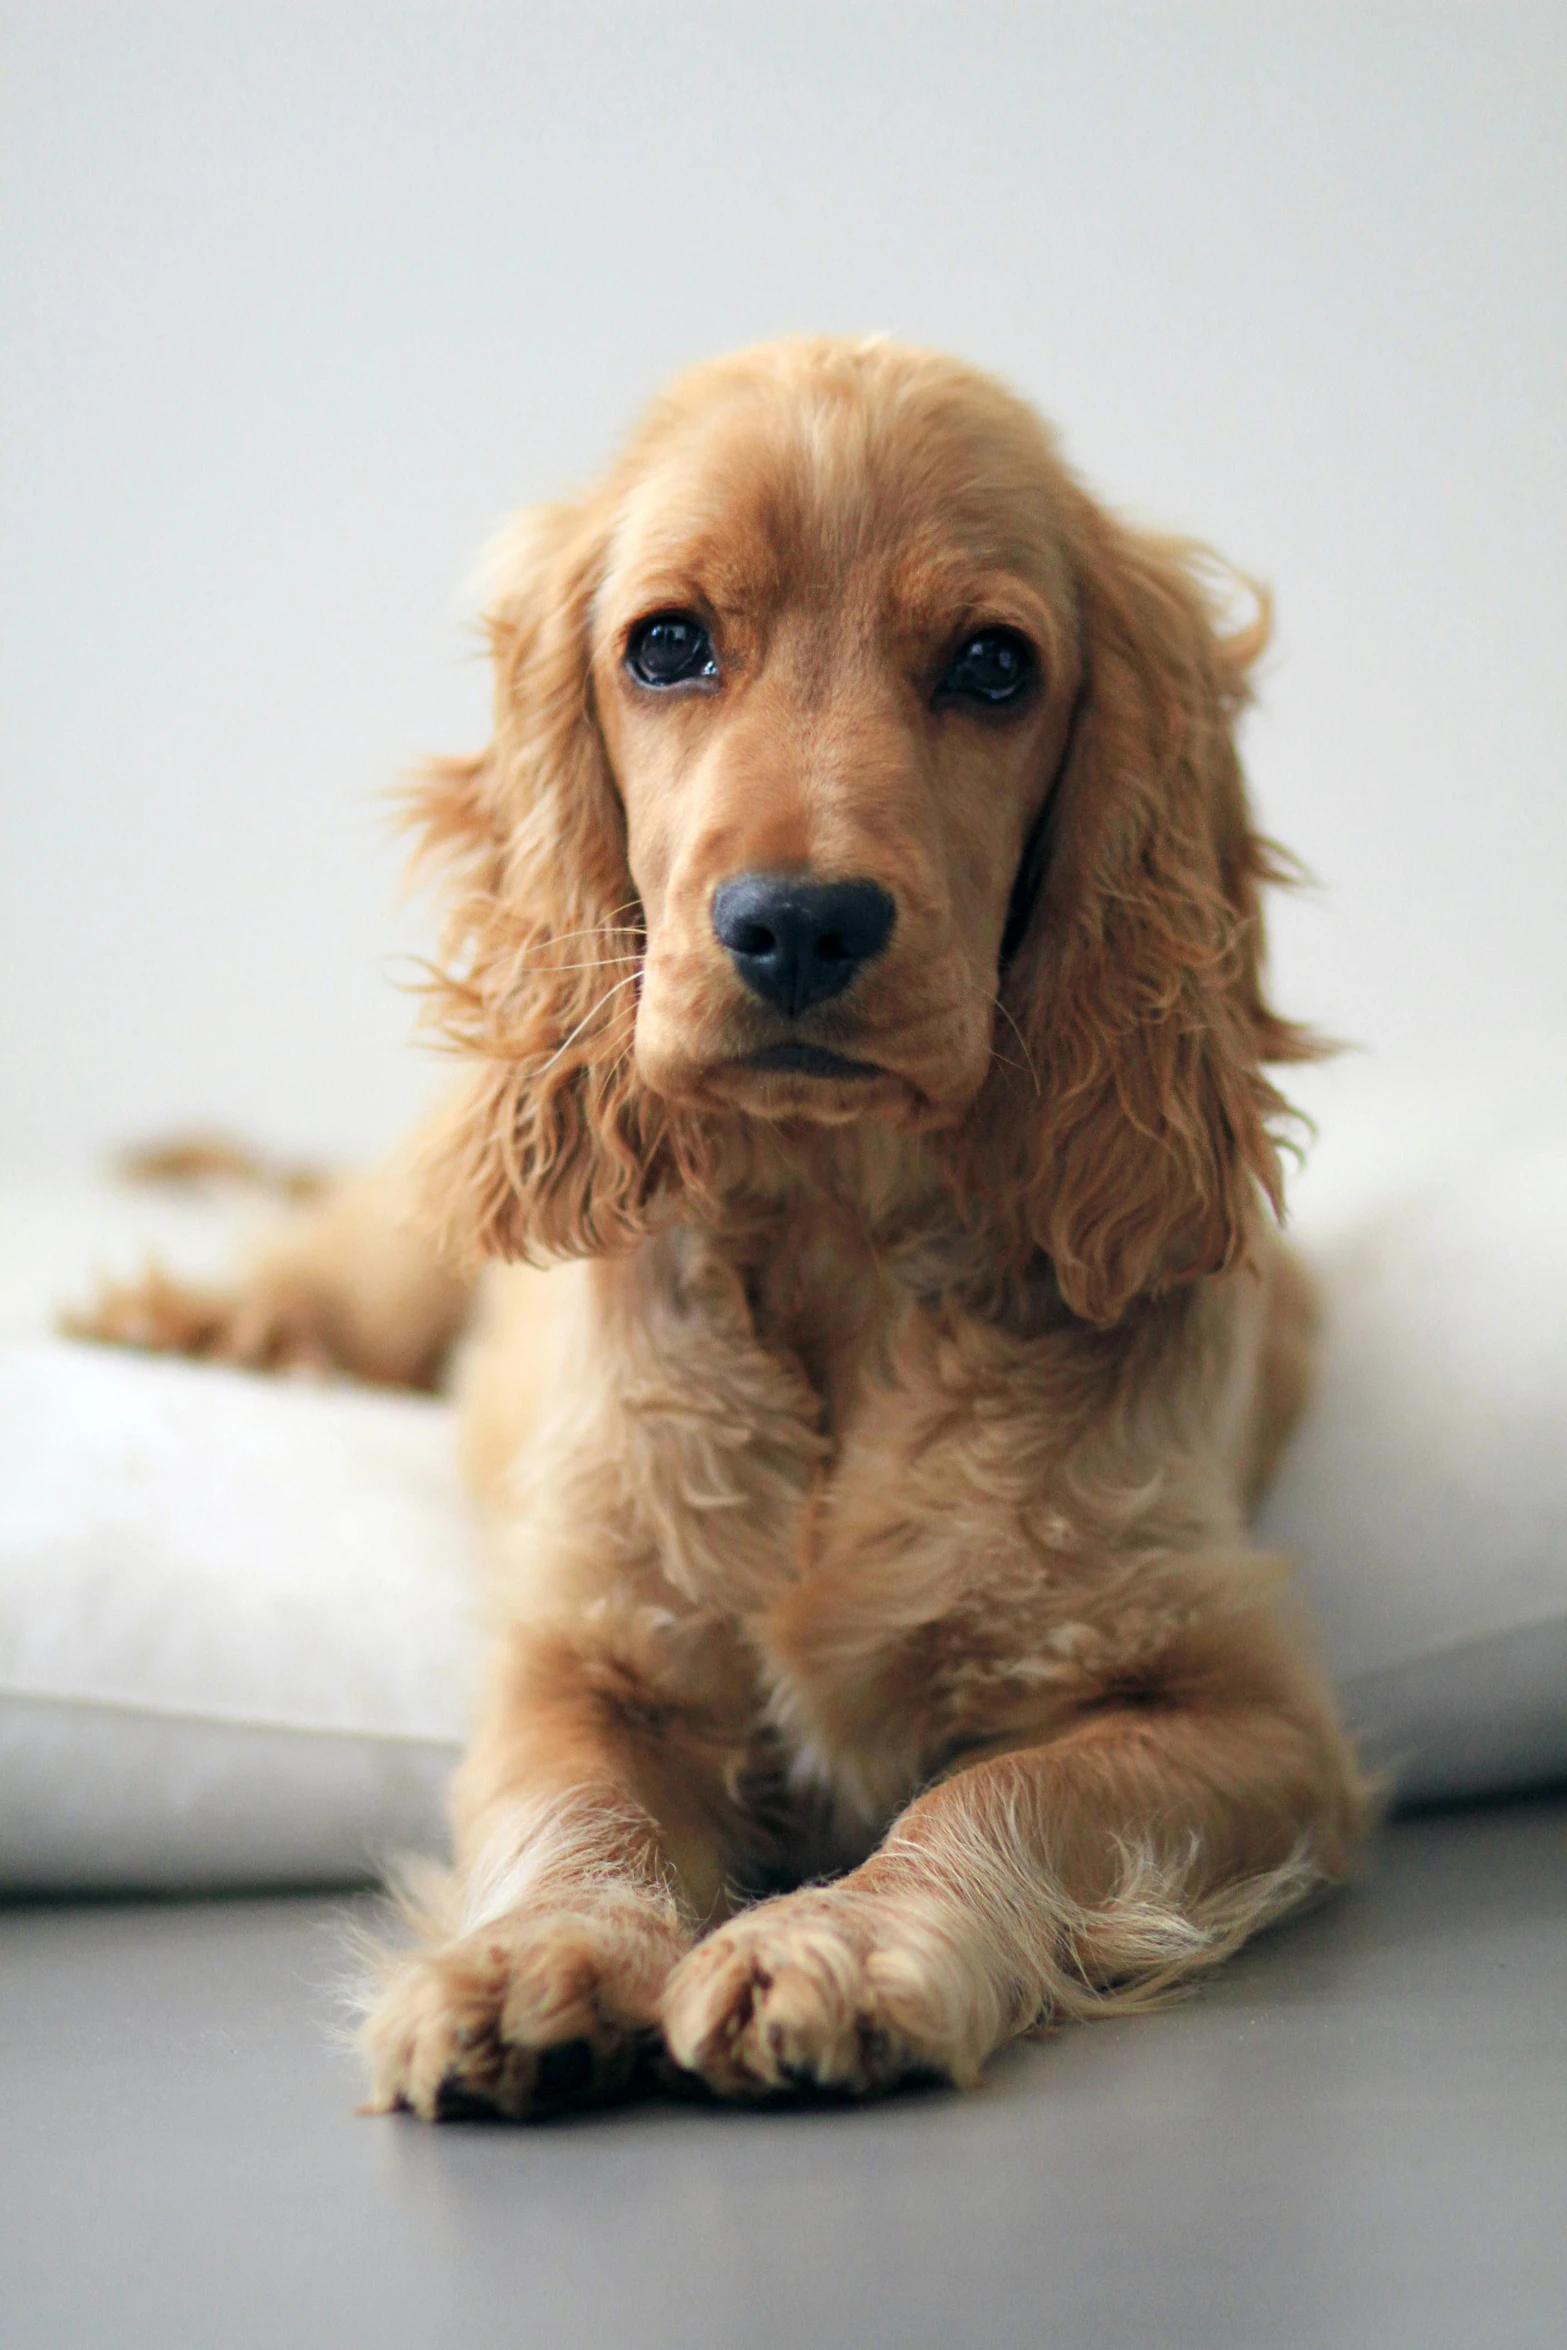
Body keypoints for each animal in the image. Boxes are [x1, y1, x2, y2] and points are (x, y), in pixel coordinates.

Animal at [85, 340, 1362, 2124]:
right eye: (668, 643)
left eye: (992, 665)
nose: (798, 925)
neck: (837, 1240)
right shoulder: (586, 1650)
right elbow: (578, 1801)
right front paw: (532, 1953)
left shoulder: (1240, 1708)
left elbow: (1004, 1793)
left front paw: (839, 1943)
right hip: (411, 1226)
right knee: (318, 1268)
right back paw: (175, 1312)